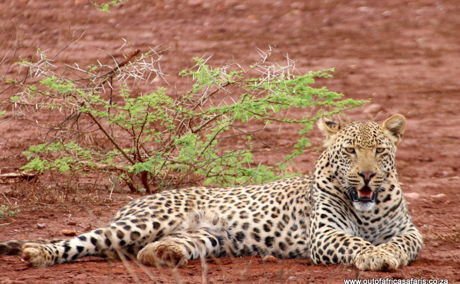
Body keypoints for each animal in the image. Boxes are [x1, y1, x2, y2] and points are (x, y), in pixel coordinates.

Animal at [0, 113, 424, 270]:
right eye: (350, 151)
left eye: (380, 152)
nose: (367, 176)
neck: (368, 208)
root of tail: (135, 201)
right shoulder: (324, 235)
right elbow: (355, 242)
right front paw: (375, 256)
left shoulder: (410, 231)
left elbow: (402, 242)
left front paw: (387, 253)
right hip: (144, 221)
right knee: (84, 239)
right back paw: (37, 252)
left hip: (206, 237)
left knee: (147, 250)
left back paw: (163, 255)